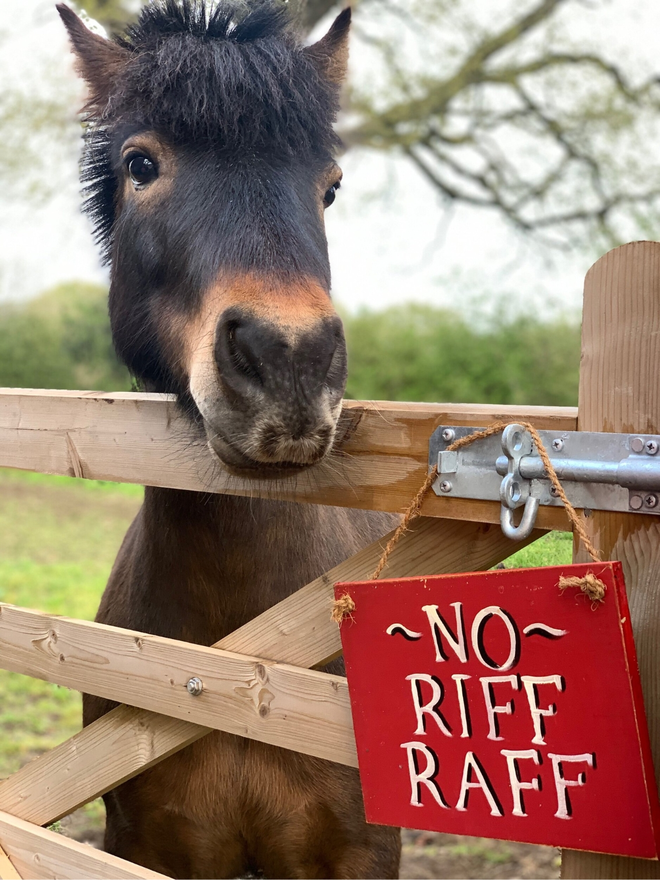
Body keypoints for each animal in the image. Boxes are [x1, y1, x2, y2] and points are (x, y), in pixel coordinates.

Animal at [59, 0, 400, 876]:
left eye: (331, 186)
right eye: (141, 164)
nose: (289, 359)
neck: (238, 668)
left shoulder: (359, 849)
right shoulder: (152, 842)